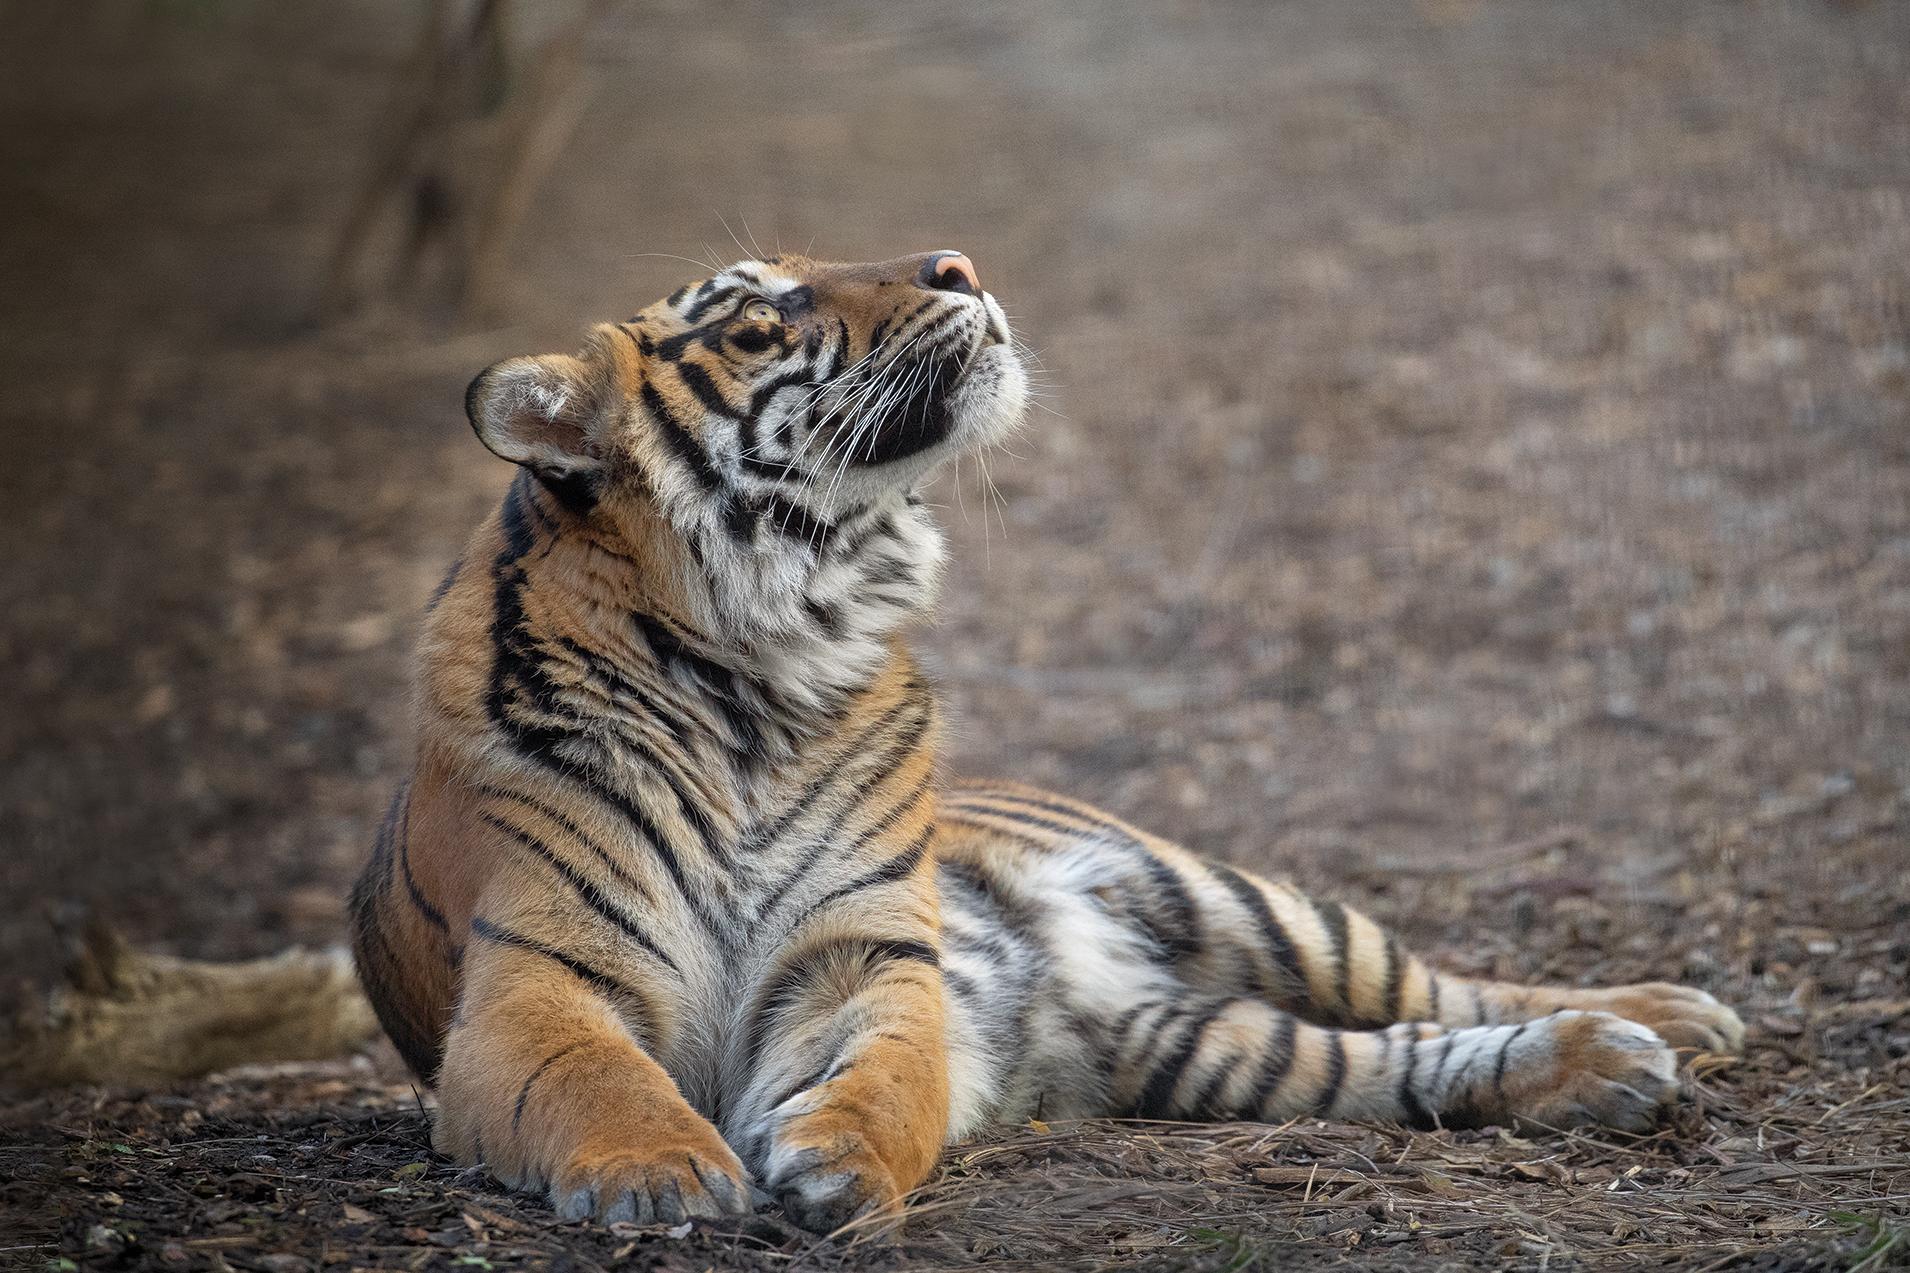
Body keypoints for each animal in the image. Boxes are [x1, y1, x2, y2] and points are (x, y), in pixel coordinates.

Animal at [347, 249, 1745, 1233]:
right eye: (757, 318)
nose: (957, 265)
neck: (767, 671)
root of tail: (1100, 977)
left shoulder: (867, 954)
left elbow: (889, 1077)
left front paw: (837, 1163)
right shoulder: (537, 978)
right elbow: (590, 1076)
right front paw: (659, 1173)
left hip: (1245, 902)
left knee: (1436, 985)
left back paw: (1663, 1013)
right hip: (1200, 1050)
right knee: (1396, 1056)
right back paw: (1604, 1067)